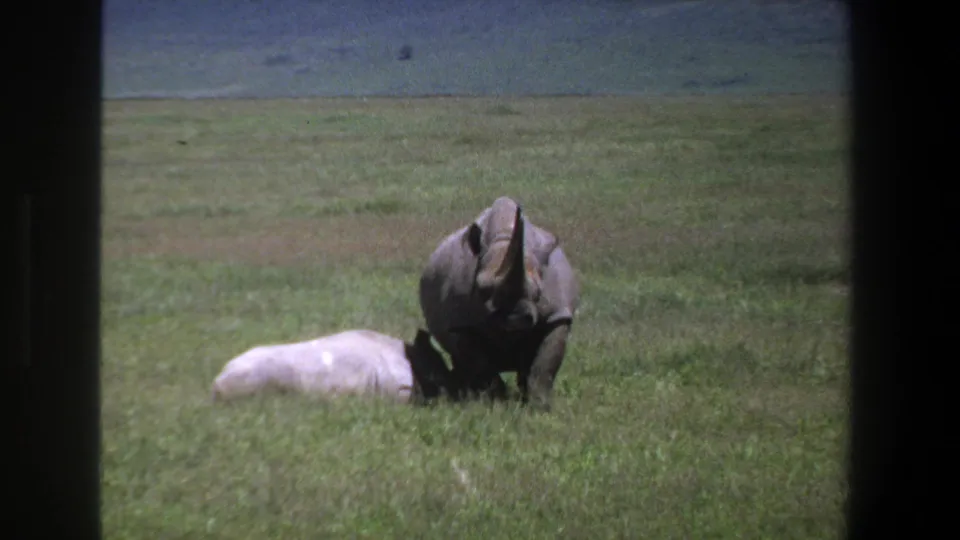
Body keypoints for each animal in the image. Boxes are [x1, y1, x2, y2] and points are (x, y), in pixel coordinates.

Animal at [419, 196, 580, 410]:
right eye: (481, 289)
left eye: (539, 293)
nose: (516, 318)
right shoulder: (461, 324)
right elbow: (481, 365)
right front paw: (496, 404)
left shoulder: (557, 314)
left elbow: (545, 365)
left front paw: (540, 407)